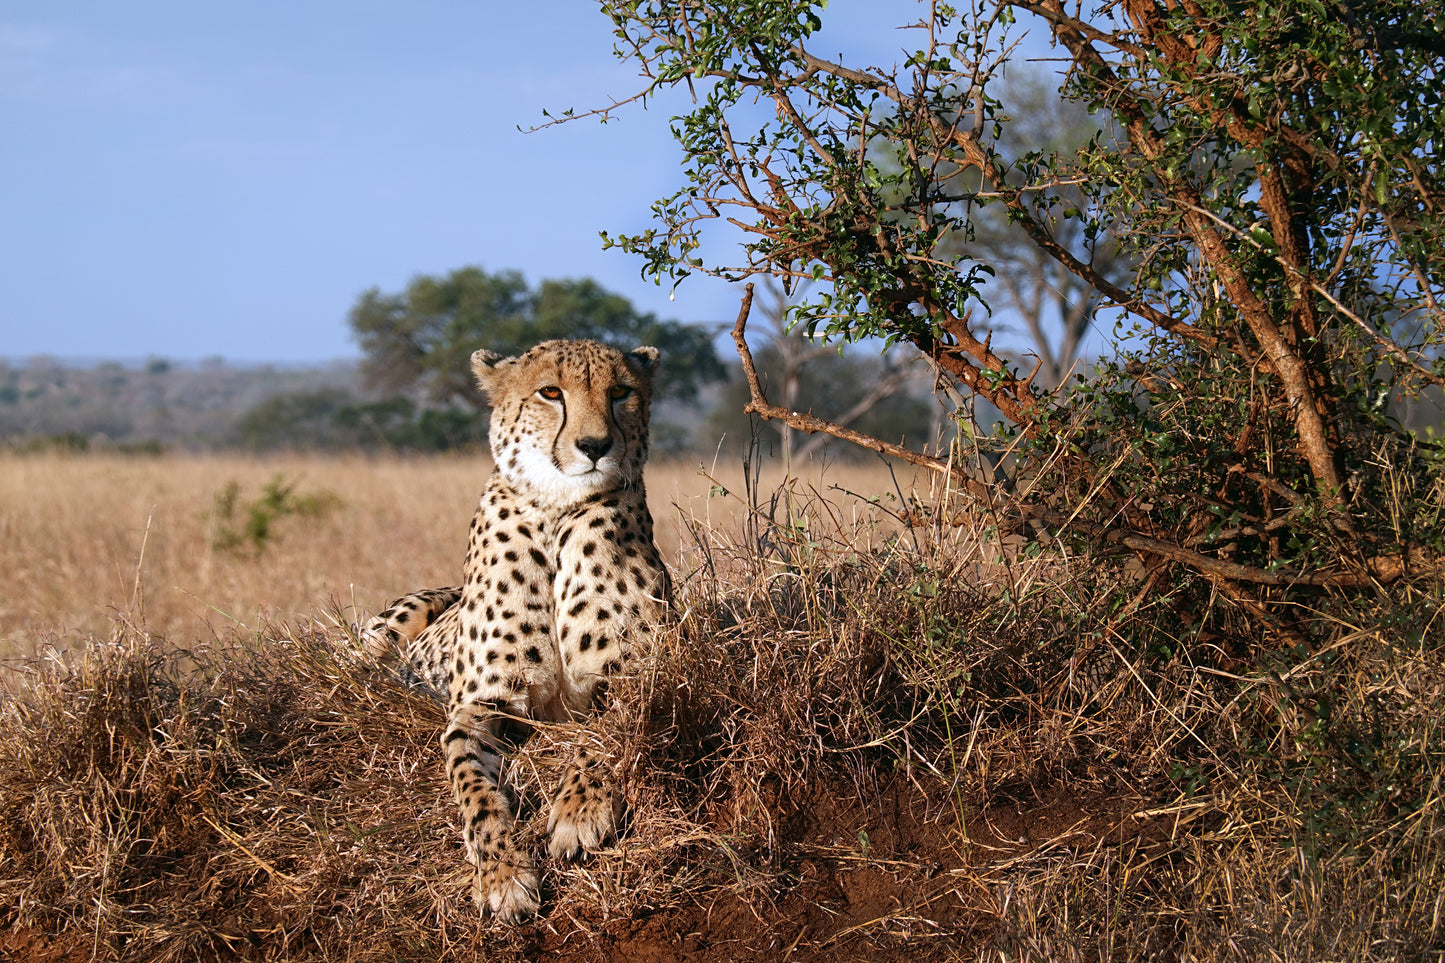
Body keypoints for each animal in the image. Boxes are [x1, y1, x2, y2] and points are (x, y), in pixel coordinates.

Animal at [358, 336, 667, 913]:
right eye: (551, 393)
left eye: (620, 392)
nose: (595, 445)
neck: (557, 510)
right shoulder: (481, 705)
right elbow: (472, 788)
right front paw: (501, 874)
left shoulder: (633, 676)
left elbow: (600, 738)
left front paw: (578, 812)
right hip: (383, 630)